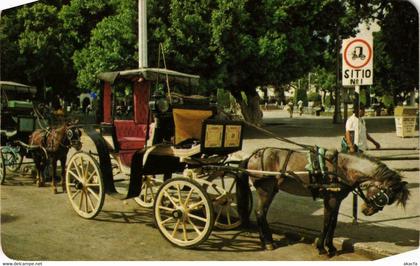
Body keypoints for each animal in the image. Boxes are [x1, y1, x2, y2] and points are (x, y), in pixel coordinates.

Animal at [238, 148, 408, 256]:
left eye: (390, 200)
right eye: (384, 197)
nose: (367, 211)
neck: (341, 168)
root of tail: (253, 155)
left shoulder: (337, 200)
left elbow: (333, 223)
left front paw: (331, 247)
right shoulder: (330, 199)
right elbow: (327, 222)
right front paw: (321, 248)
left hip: (271, 190)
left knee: (261, 213)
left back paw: (264, 240)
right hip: (265, 190)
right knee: (260, 212)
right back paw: (268, 242)